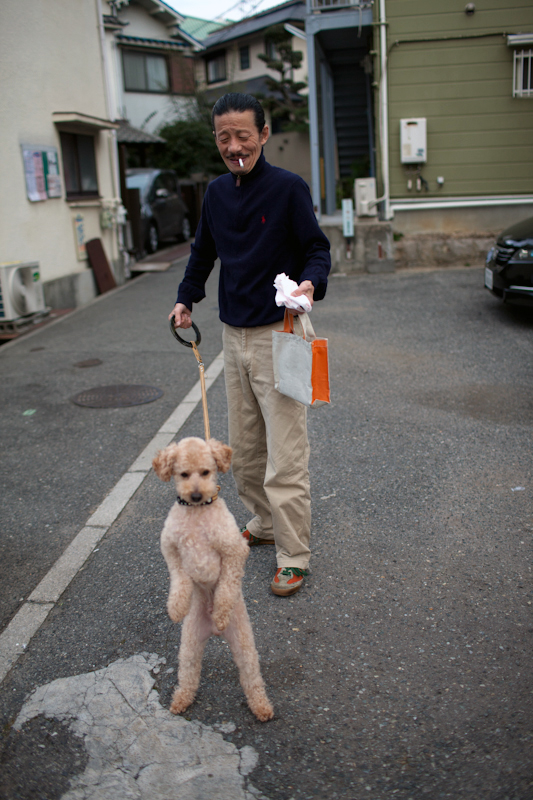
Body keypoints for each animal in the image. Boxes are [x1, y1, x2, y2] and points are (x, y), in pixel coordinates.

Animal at [151, 438, 272, 724]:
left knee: (251, 677)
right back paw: (181, 700)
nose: (195, 495)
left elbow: (226, 587)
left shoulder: (235, 550)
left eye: (206, 472)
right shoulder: (170, 547)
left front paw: (220, 611)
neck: (197, 513)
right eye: (184, 474)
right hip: (190, 645)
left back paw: (261, 707)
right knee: (189, 674)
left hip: (243, 643)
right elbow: (179, 577)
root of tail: (215, 634)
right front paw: (176, 607)